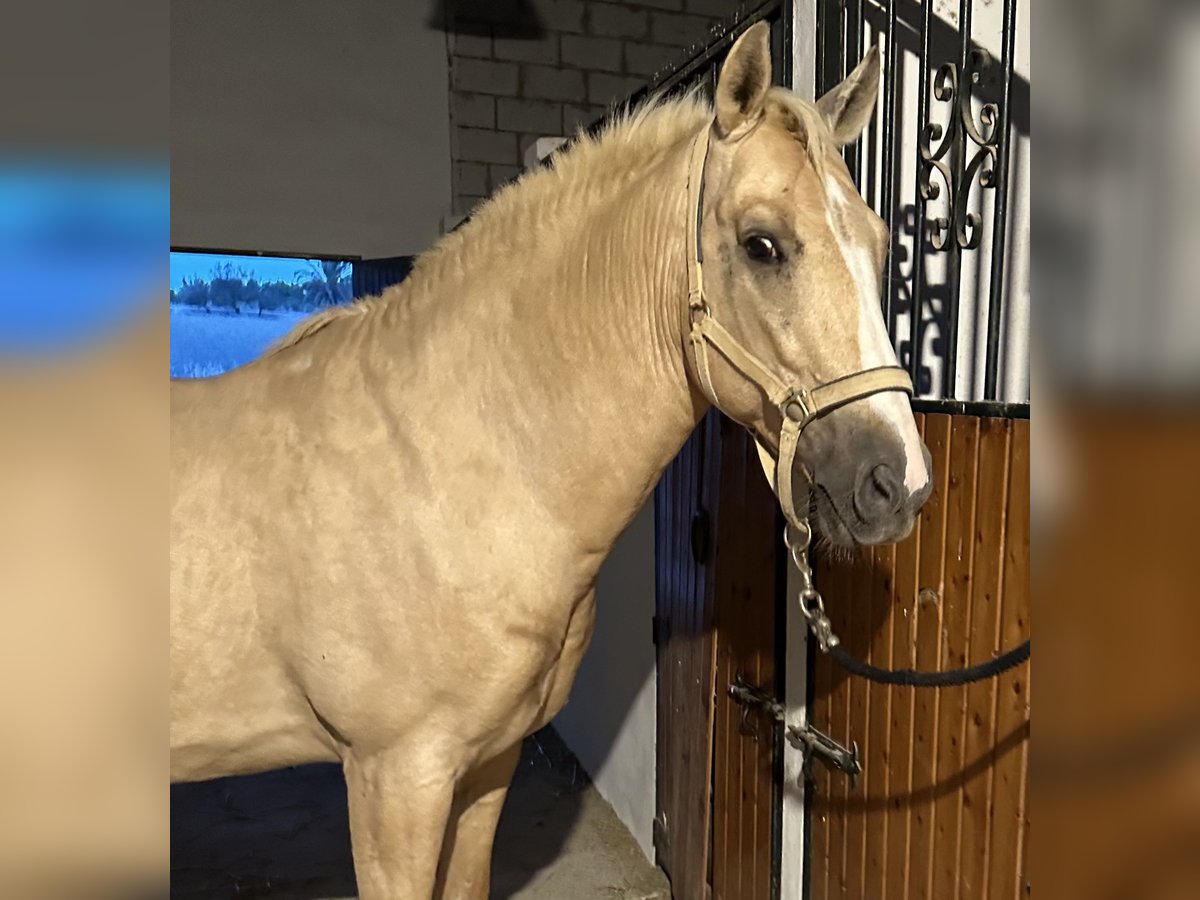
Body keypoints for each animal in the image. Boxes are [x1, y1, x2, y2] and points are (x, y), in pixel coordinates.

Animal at [174, 22, 931, 900]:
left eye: (878, 244)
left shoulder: (487, 765)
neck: (445, 467)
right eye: (762, 245)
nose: (899, 483)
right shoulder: (393, 783)